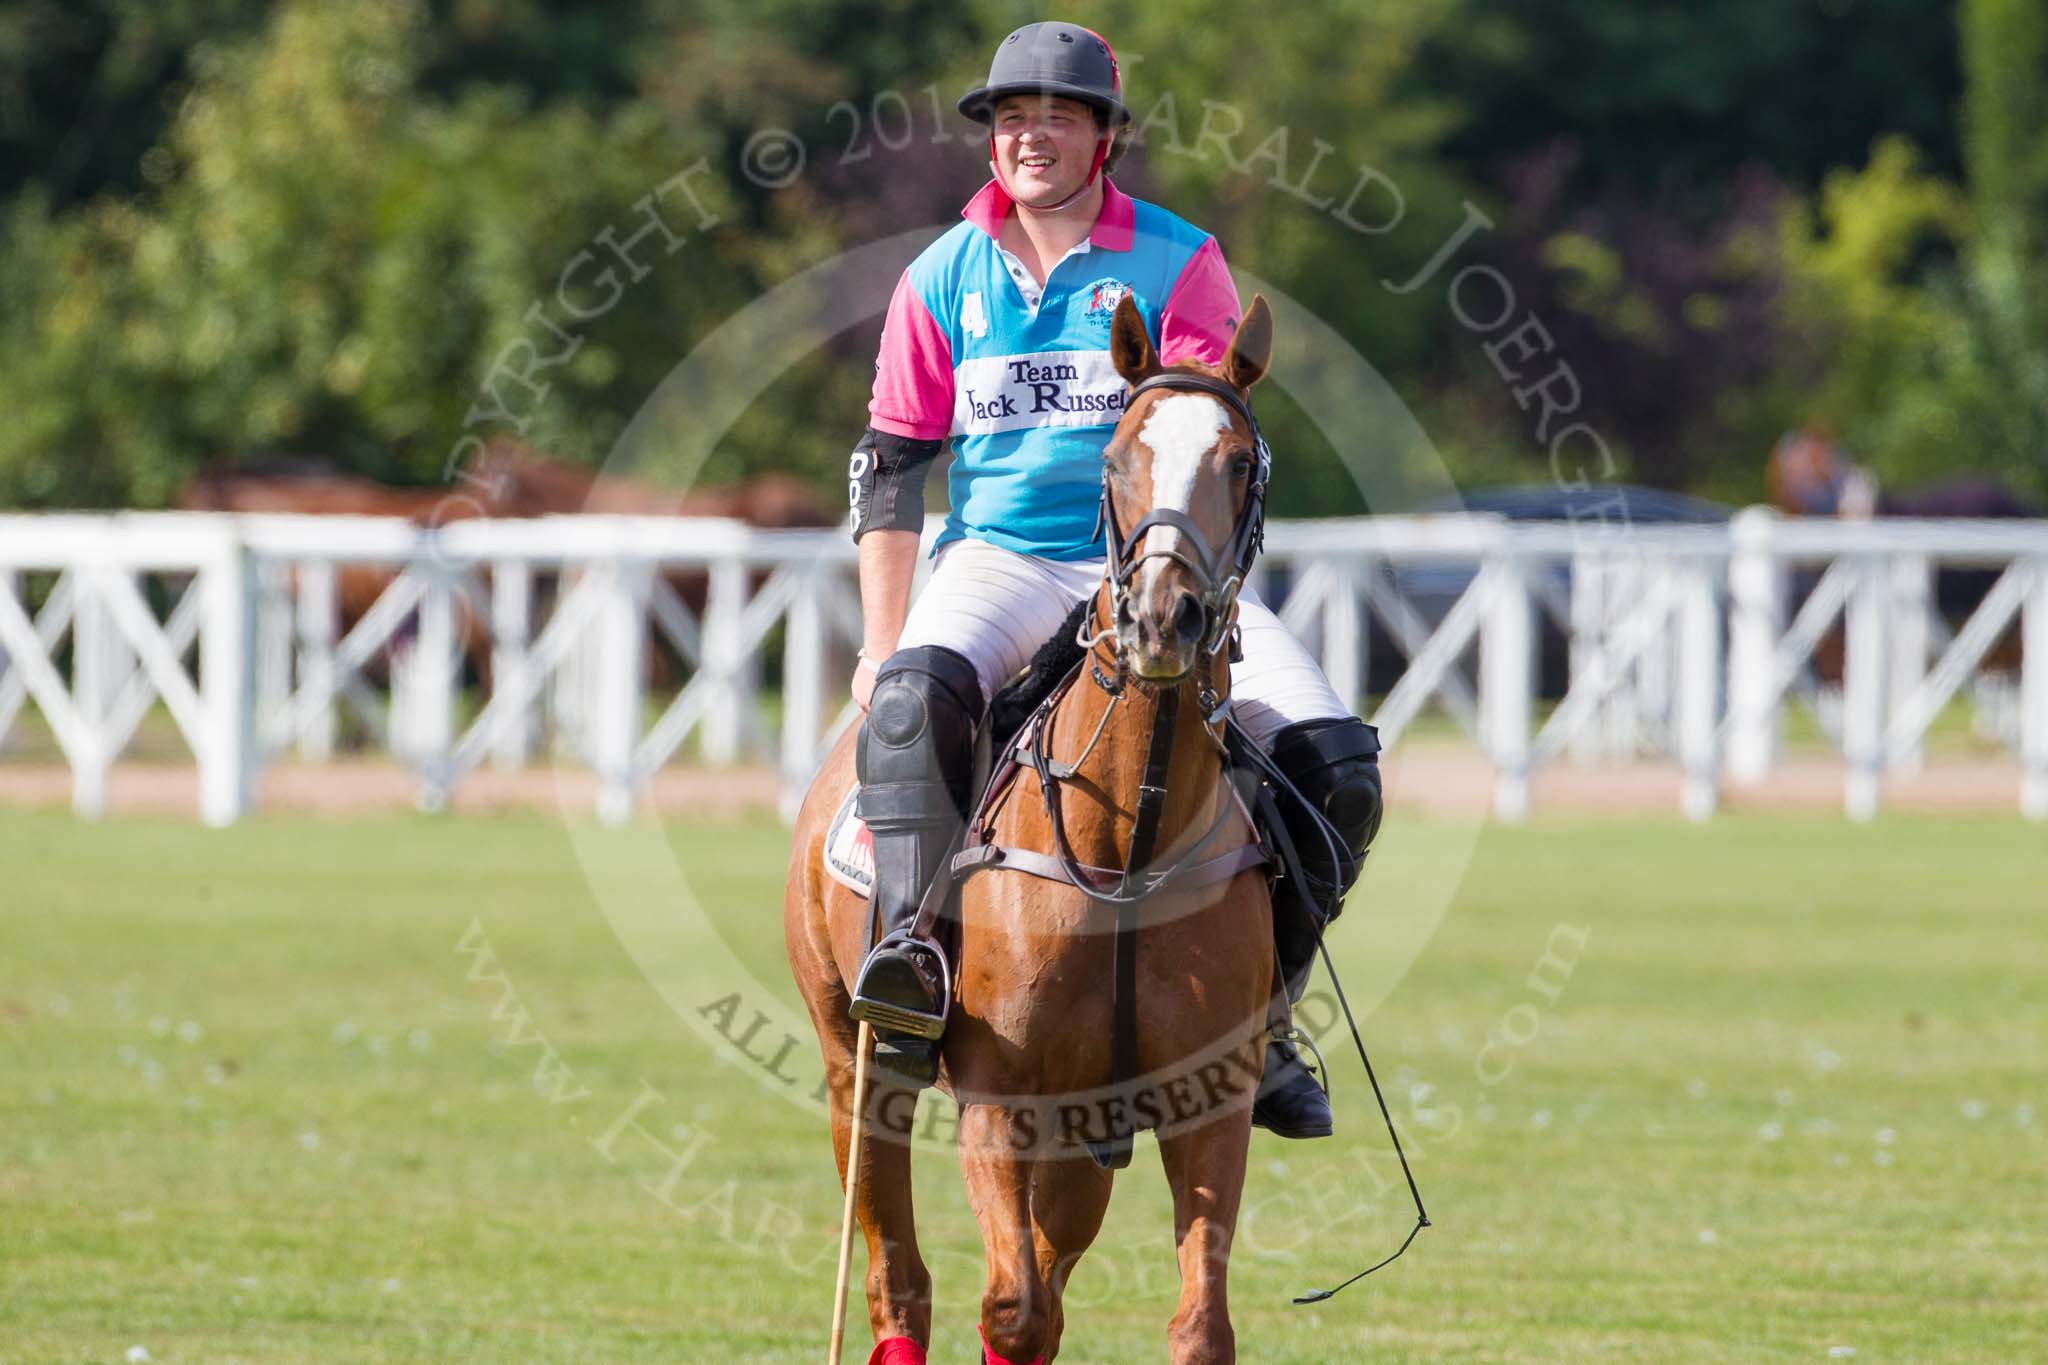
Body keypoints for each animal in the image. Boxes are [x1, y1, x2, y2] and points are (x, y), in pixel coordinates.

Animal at [786, 298, 1277, 1365]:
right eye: (1117, 456)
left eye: (1238, 463)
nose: (1163, 617)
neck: (1127, 841)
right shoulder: (999, 1094)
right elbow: (1012, 1308)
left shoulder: (1210, 1095)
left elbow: (1197, 1324)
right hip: (853, 1062)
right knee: (898, 1277)